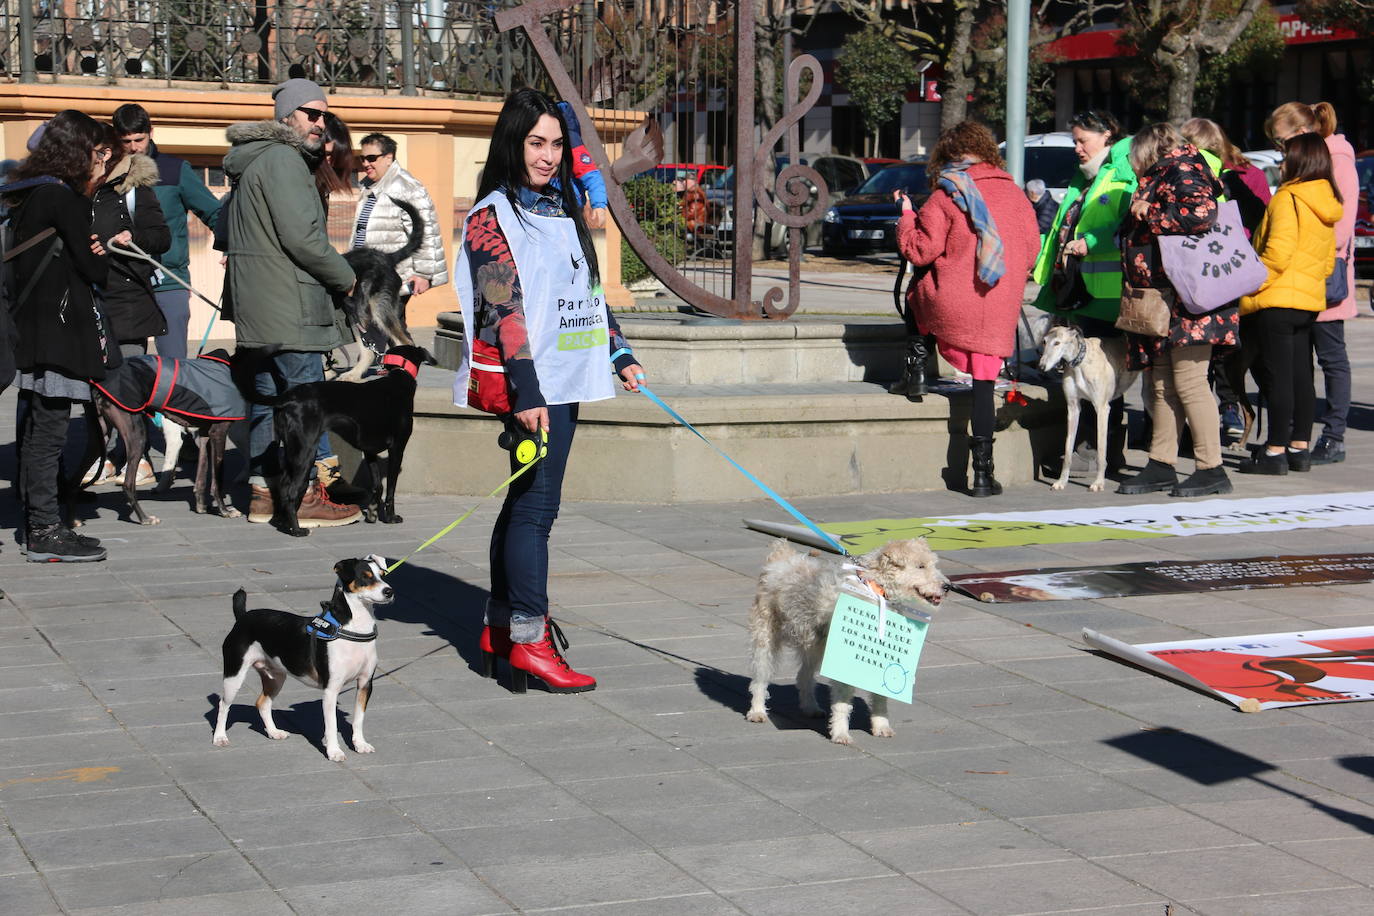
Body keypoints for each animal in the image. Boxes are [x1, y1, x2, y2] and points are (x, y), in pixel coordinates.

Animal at [211, 554, 392, 763]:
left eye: (382, 575)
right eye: (365, 577)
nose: (389, 591)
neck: (354, 628)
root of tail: (242, 617)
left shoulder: (365, 684)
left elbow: (358, 719)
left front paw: (360, 744)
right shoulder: (331, 690)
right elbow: (331, 725)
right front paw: (334, 751)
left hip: (276, 677)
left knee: (262, 703)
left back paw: (274, 732)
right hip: (234, 675)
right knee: (223, 705)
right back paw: (219, 737)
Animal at [230, 347, 434, 541]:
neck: (399, 377)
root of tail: (288, 397)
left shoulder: (369, 452)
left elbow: (378, 485)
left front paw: (372, 512)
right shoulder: (397, 449)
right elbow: (390, 489)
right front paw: (391, 517)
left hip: (291, 451)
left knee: (283, 487)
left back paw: (283, 521)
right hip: (306, 451)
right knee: (292, 492)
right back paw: (297, 530)